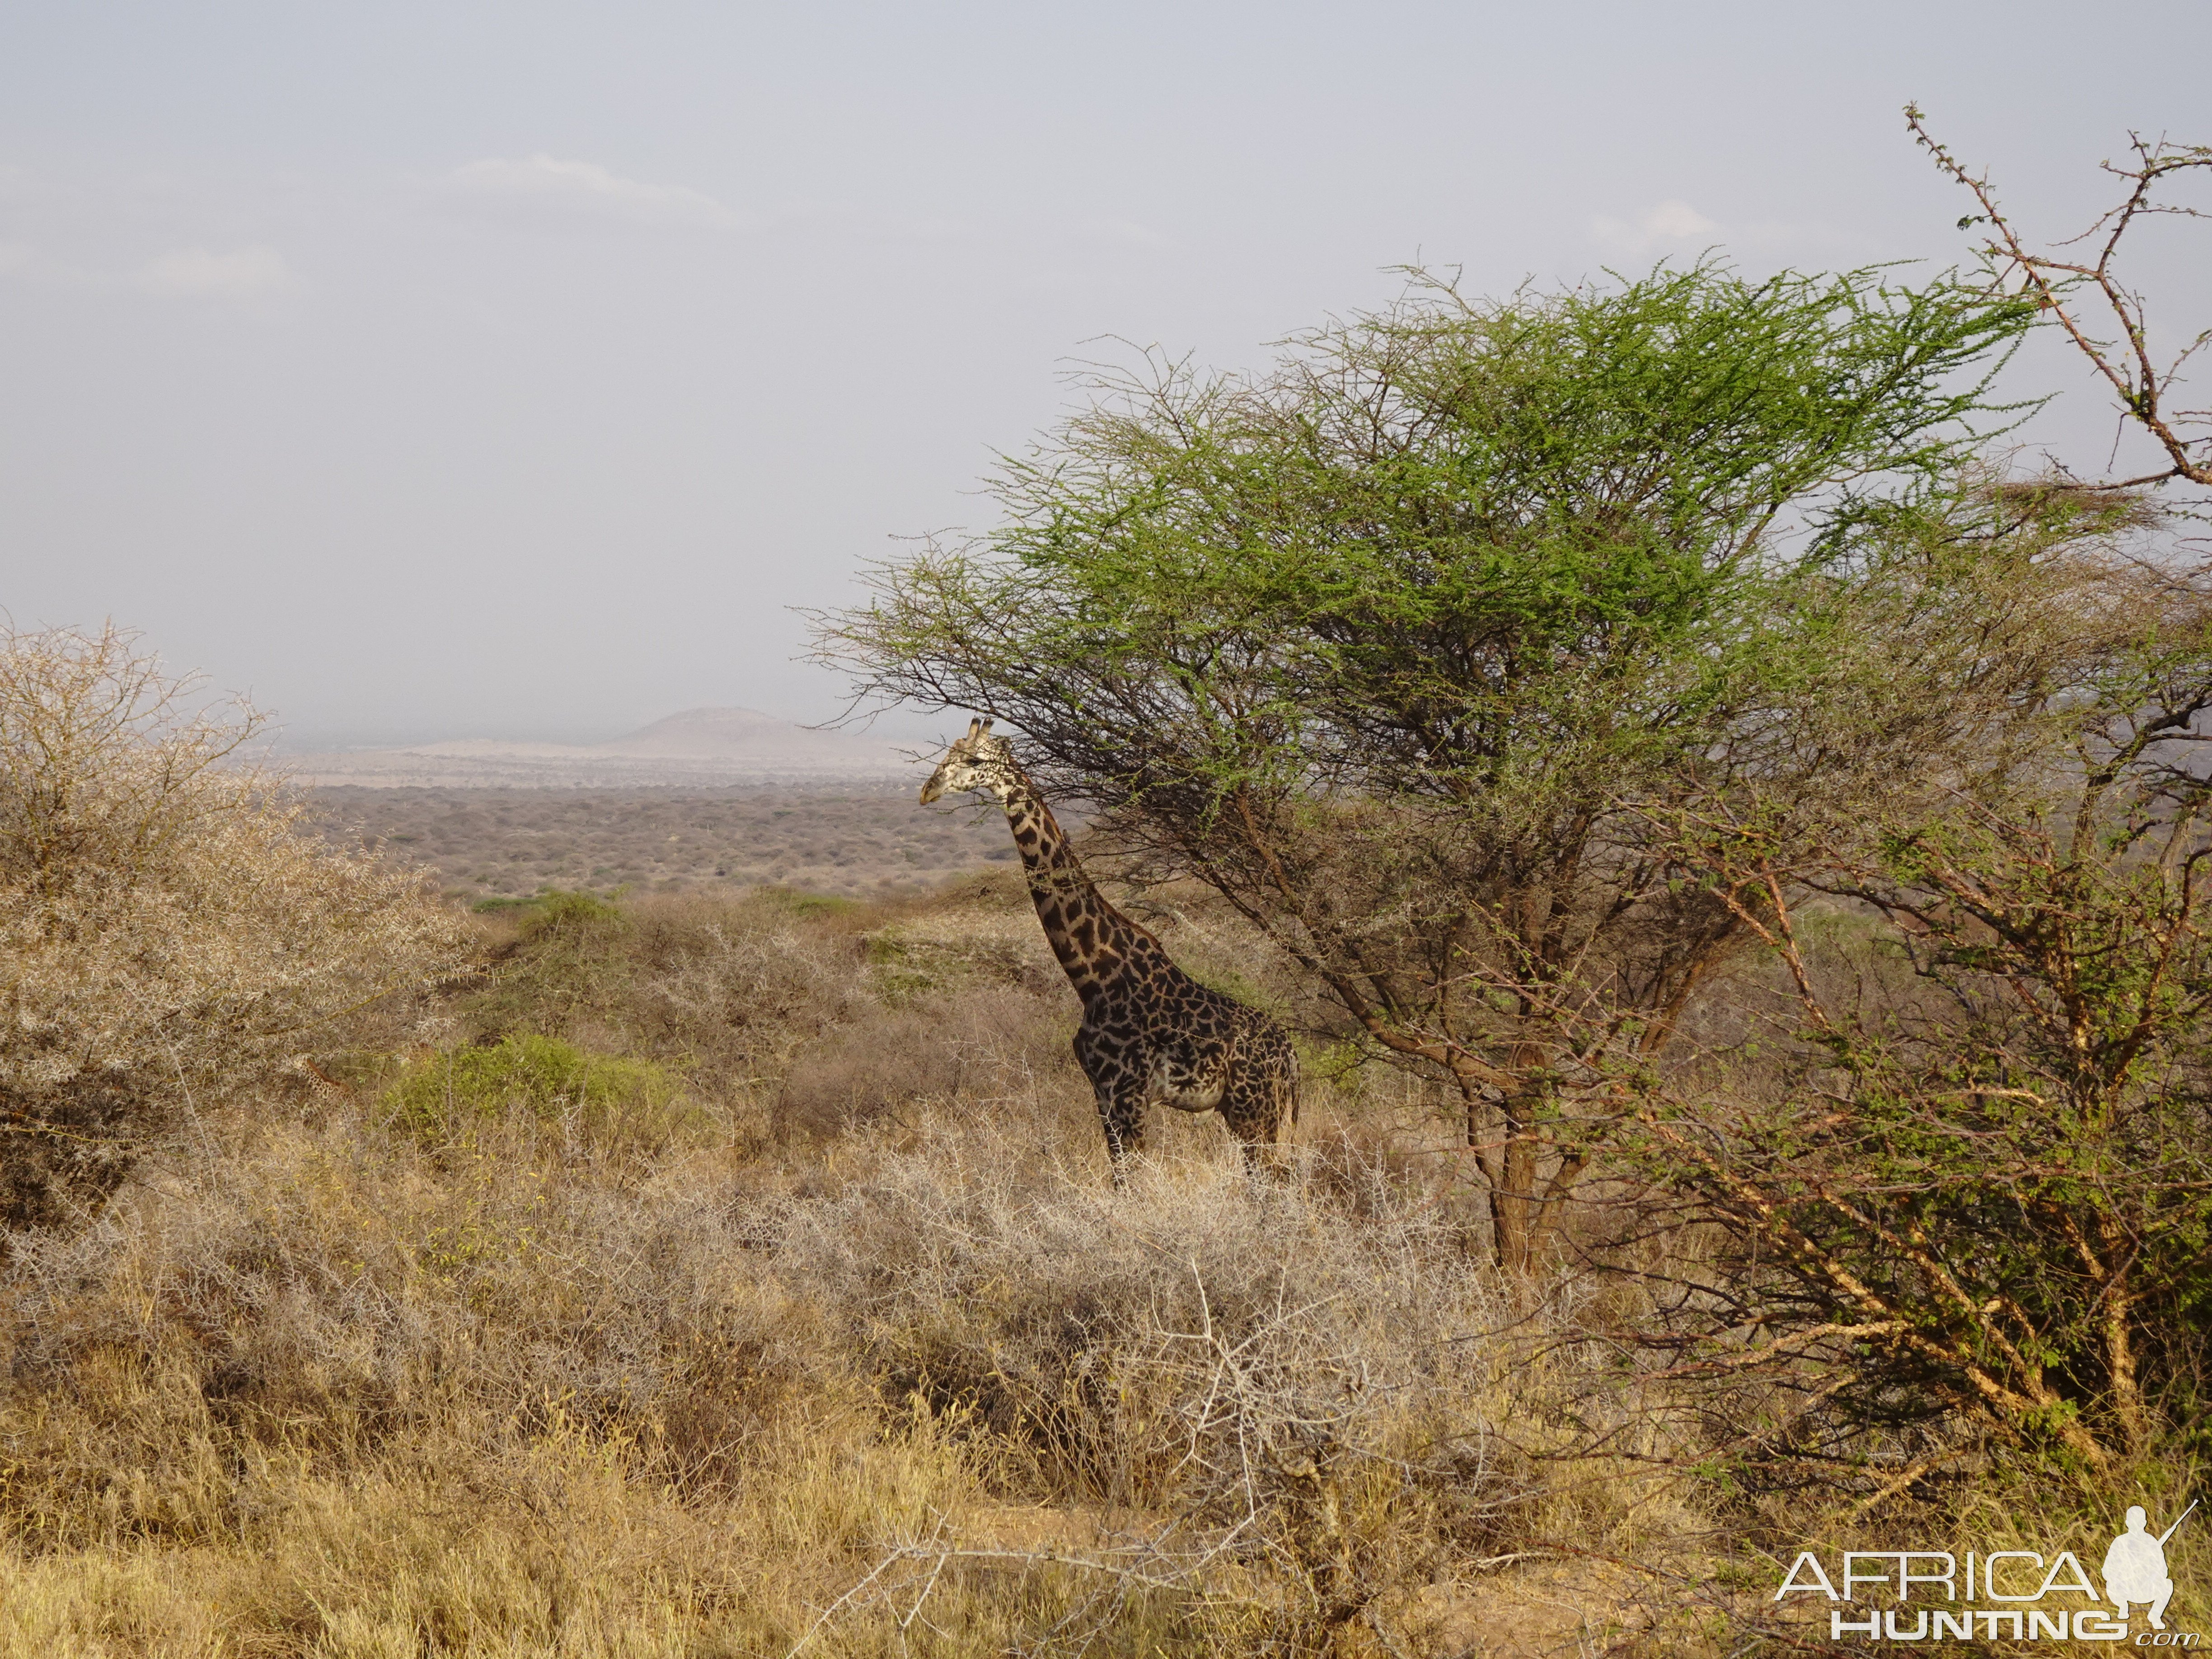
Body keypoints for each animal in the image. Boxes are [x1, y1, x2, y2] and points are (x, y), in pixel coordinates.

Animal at [915, 717, 1292, 1186]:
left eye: (975, 761)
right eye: (948, 754)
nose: (928, 790)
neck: (1094, 976)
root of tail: (1292, 1056)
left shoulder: (1127, 1093)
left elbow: (1132, 1183)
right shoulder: (1101, 1093)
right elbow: (1120, 1181)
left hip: (1253, 1108)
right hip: (1251, 1110)